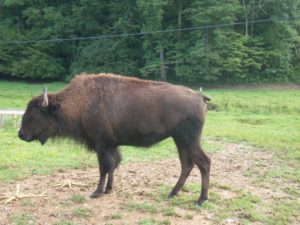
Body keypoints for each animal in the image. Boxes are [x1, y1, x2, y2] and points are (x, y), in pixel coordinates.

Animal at [18, 74, 211, 206]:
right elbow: (113, 164)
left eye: (35, 113)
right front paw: (108, 190)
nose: (21, 134)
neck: (81, 102)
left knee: (203, 162)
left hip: (188, 140)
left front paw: (96, 192)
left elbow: (103, 168)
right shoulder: (111, 146)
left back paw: (200, 200)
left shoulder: (101, 145)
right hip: (180, 141)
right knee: (187, 164)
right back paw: (172, 193)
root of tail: (198, 96)